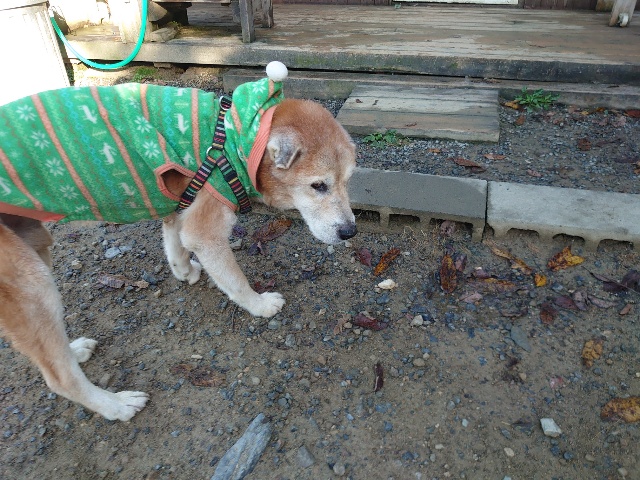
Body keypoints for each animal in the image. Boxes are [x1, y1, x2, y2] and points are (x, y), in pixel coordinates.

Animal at [0, 62, 357, 421]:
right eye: (318, 185)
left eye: (348, 181)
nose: (349, 232)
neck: (236, 140)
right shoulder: (206, 227)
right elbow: (235, 281)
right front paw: (259, 304)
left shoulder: (182, 207)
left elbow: (175, 244)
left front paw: (184, 271)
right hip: (34, 284)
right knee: (58, 376)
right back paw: (117, 405)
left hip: (36, 244)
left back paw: (75, 350)